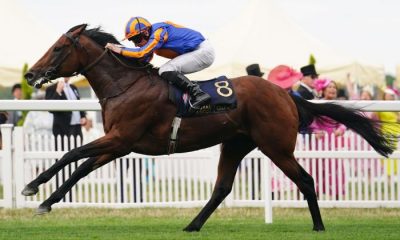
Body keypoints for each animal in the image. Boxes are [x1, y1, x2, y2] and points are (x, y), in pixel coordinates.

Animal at [22, 23, 394, 231]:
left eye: (58, 48)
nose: (30, 74)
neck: (125, 85)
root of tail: (287, 95)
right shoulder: (120, 144)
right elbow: (81, 166)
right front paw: (46, 200)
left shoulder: (120, 138)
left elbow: (70, 154)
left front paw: (32, 187)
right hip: (235, 144)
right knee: (222, 188)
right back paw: (192, 225)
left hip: (275, 146)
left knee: (305, 179)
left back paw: (318, 226)